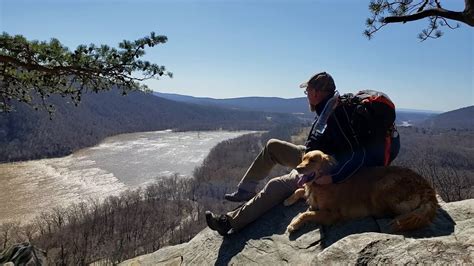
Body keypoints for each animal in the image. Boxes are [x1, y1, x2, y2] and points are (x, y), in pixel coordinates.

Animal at [284, 151, 438, 234]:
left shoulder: (332, 214)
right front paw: (288, 200)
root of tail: (426, 185)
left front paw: (294, 224)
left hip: (381, 185)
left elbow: (307, 214)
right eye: (303, 159)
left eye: (313, 160)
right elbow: (300, 189)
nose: (298, 168)